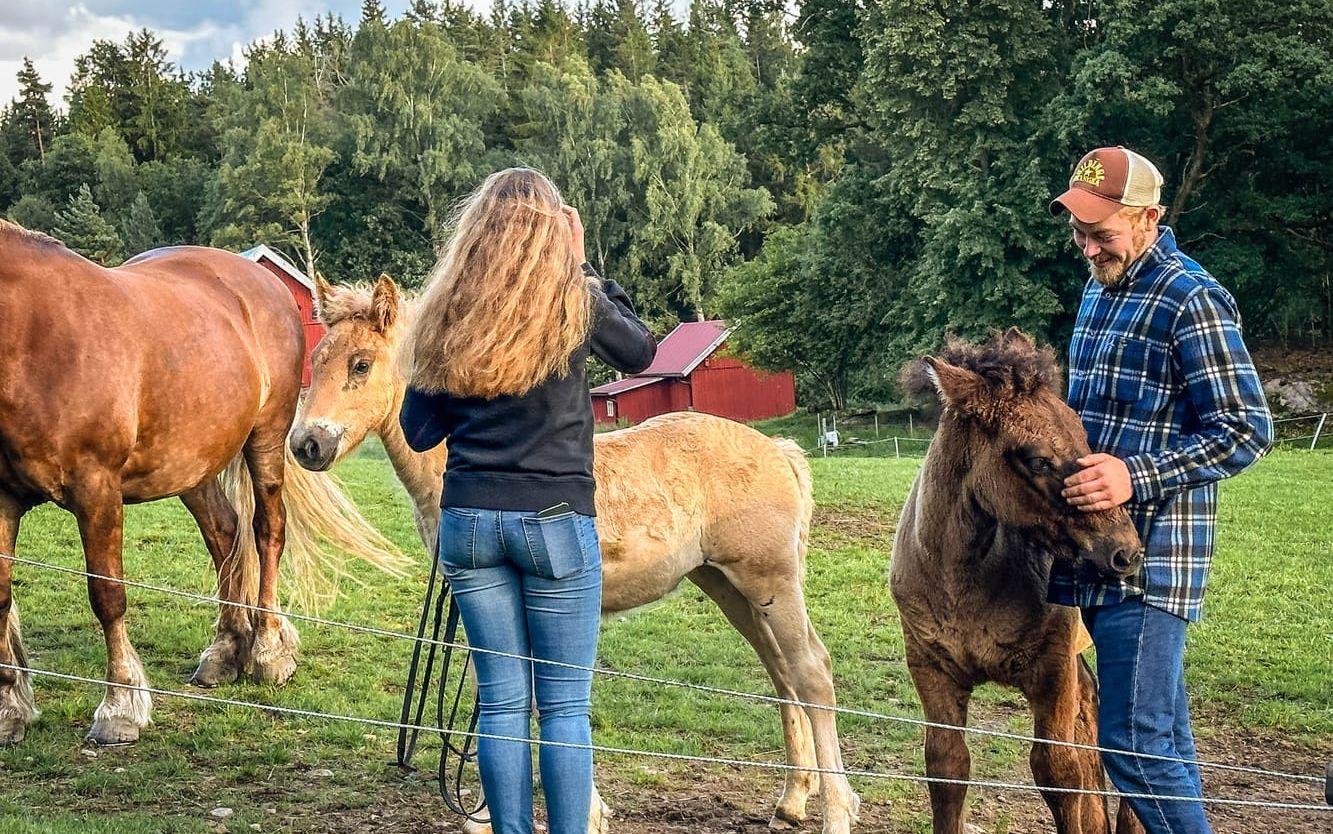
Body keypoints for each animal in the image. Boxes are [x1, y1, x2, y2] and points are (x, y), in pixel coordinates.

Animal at [0, 222, 402, 746]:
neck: (37, 337)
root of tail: (260, 280)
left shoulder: (97, 491)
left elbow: (107, 595)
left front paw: (120, 707)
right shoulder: (2, 497)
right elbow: (2, 597)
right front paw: (11, 709)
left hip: (267, 440)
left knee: (267, 530)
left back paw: (267, 649)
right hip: (192, 464)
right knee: (224, 533)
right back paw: (226, 649)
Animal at [286, 274, 858, 831]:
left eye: (361, 363)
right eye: (317, 360)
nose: (307, 444)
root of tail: (778, 449)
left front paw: (582, 812)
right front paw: (488, 815)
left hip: (770, 581)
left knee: (811, 671)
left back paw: (836, 812)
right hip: (728, 587)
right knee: (781, 672)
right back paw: (792, 799)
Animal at [885, 329, 1146, 831]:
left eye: (1084, 435)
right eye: (1038, 460)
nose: (1126, 552)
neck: (960, 583)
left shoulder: (1051, 668)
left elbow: (1058, 771)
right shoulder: (931, 669)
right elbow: (947, 769)